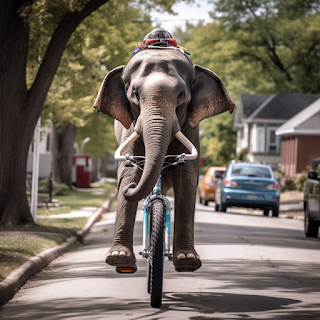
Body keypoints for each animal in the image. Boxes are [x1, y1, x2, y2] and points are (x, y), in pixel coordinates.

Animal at [94, 28, 234, 272]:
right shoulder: (129, 128)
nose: (129, 188)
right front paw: (119, 257)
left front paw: (187, 259)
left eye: (181, 96)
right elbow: (129, 170)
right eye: (134, 94)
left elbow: (187, 177)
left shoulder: (192, 129)